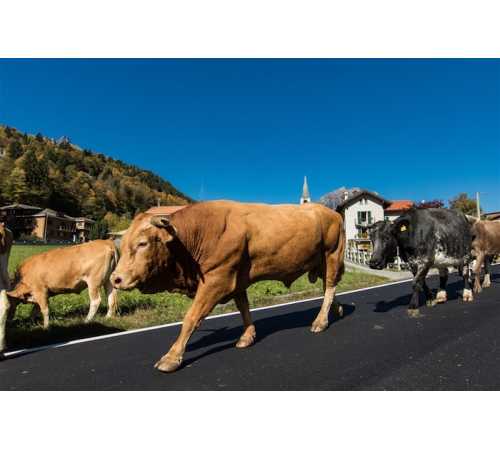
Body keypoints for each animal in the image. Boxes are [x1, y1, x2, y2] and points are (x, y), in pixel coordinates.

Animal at [110, 200, 346, 373]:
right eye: (122, 244)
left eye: (143, 243)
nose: (115, 279)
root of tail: (331, 212)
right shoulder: (236, 279)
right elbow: (243, 307)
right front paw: (247, 336)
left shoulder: (217, 279)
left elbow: (192, 317)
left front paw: (171, 357)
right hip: (320, 262)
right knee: (329, 287)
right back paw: (338, 309)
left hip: (332, 253)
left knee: (330, 287)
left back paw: (320, 322)